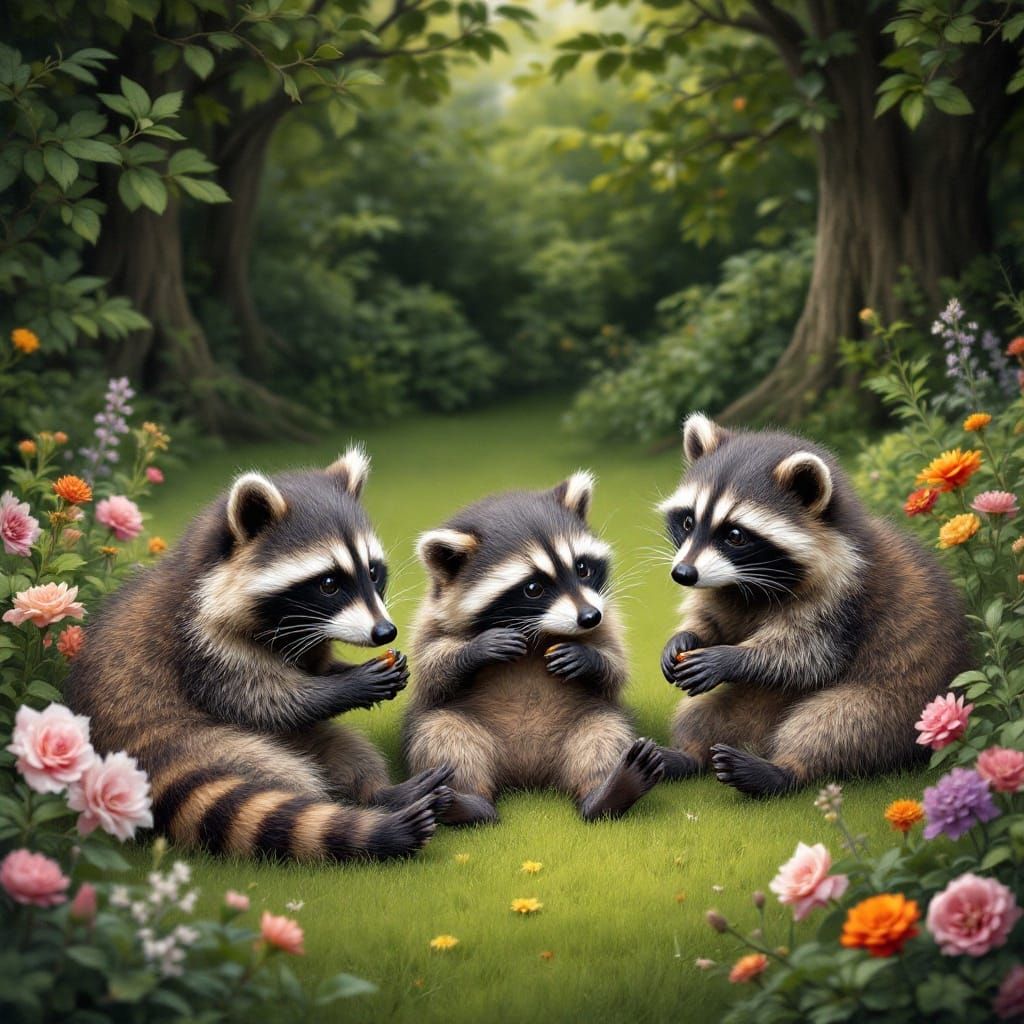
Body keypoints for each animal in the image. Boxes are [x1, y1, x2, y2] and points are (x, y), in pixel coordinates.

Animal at [64, 449, 452, 861]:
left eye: (374, 572)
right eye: (329, 583)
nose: (384, 632)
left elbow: (311, 673)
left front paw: (346, 671)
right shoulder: (199, 643)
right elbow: (259, 700)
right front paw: (349, 685)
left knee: (344, 748)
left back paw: (379, 792)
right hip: (190, 741)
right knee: (272, 772)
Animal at [403, 473, 668, 825]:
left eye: (582, 568)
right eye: (533, 588)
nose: (589, 617)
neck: (536, 635)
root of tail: (528, 775)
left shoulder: (606, 613)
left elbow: (615, 665)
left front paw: (587, 657)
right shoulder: (431, 616)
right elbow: (432, 667)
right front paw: (477, 648)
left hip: (586, 720)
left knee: (603, 734)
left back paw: (608, 791)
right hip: (462, 729)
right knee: (443, 736)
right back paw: (467, 802)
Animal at [658, 414, 971, 798]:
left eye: (735, 535)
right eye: (688, 521)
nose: (683, 574)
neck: (747, 584)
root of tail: (759, 740)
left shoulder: (845, 597)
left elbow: (807, 655)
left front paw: (732, 657)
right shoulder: (721, 590)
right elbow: (712, 618)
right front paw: (687, 636)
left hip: (900, 706)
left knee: (838, 724)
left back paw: (784, 769)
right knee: (699, 713)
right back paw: (686, 753)